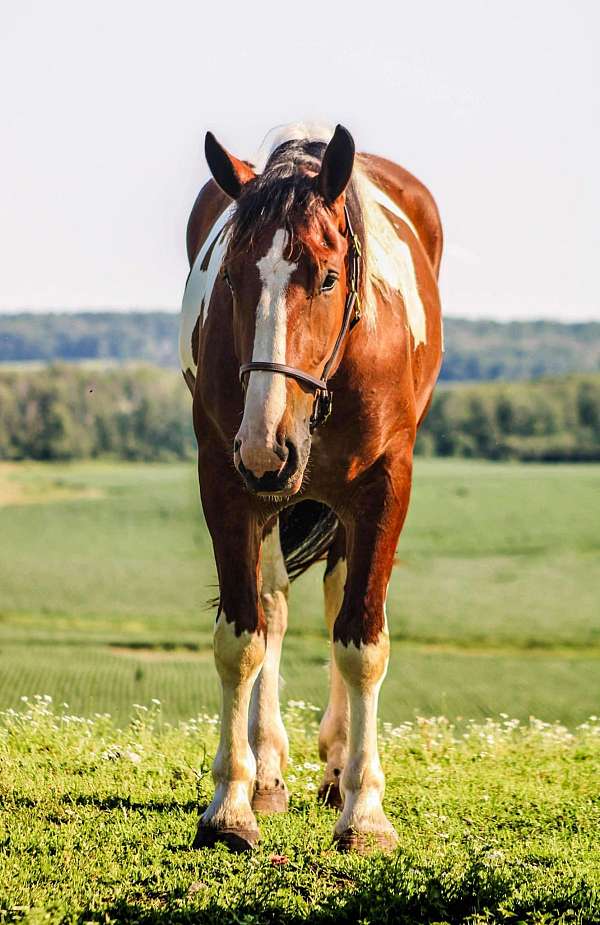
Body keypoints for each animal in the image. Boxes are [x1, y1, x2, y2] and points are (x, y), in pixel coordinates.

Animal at [178, 121, 440, 852]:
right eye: (231, 277)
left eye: (326, 277)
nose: (267, 445)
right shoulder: (227, 480)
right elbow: (243, 636)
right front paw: (232, 803)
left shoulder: (384, 488)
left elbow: (362, 642)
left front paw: (365, 810)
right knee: (275, 604)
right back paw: (271, 771)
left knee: (335, 602)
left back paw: (336, 766)